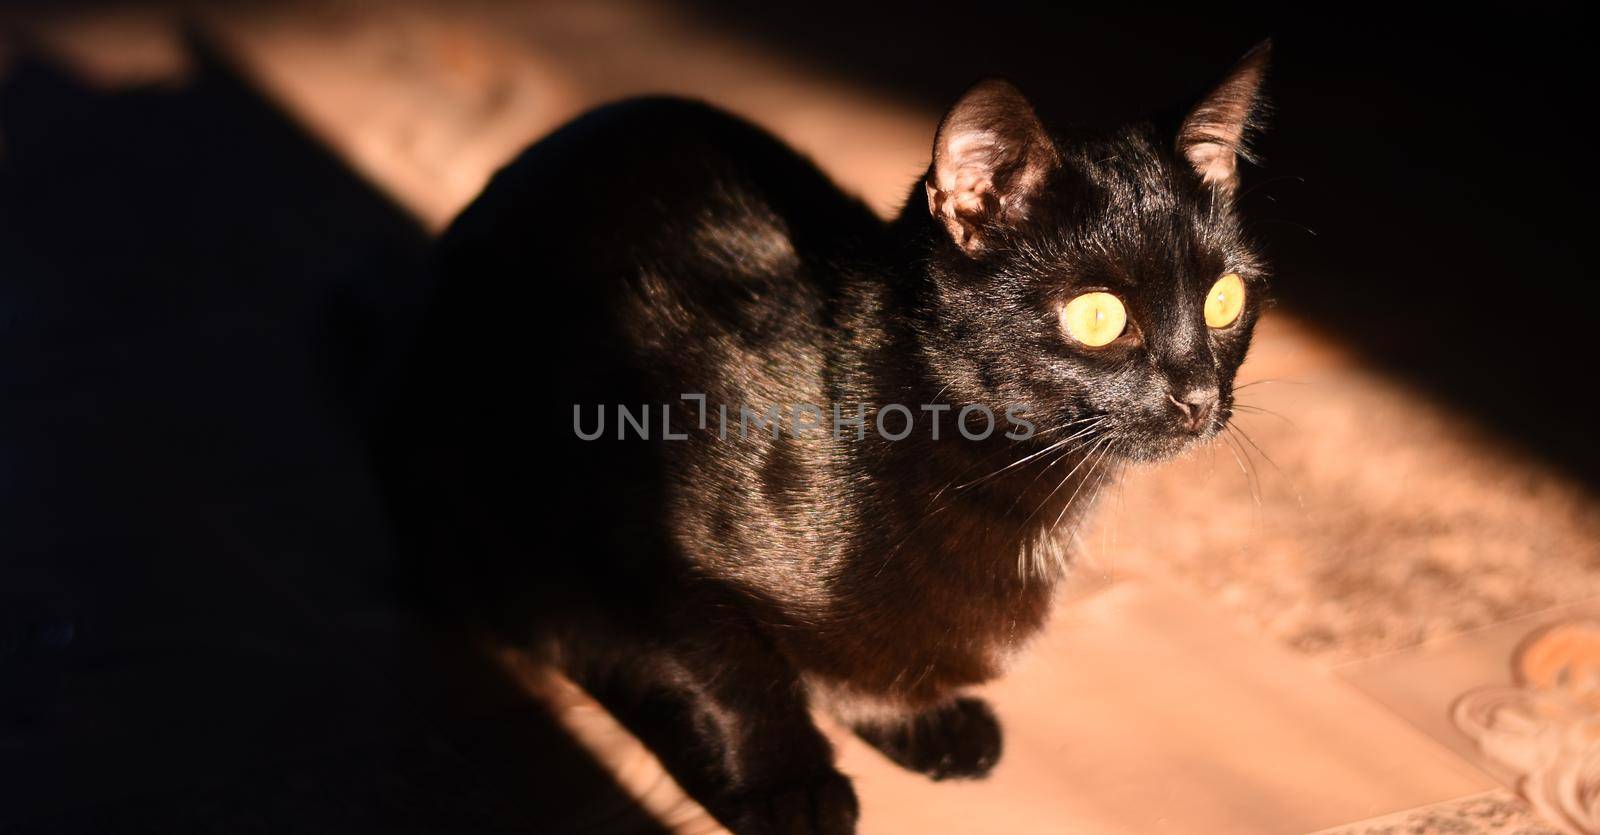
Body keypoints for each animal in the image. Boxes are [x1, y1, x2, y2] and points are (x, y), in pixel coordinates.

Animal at [380, 40, 1267, 831]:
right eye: (1097, 316)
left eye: (1225, 299)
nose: (1196, 394)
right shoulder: (635, 509)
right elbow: (728, 665)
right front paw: (791, 780)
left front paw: (914, 719)